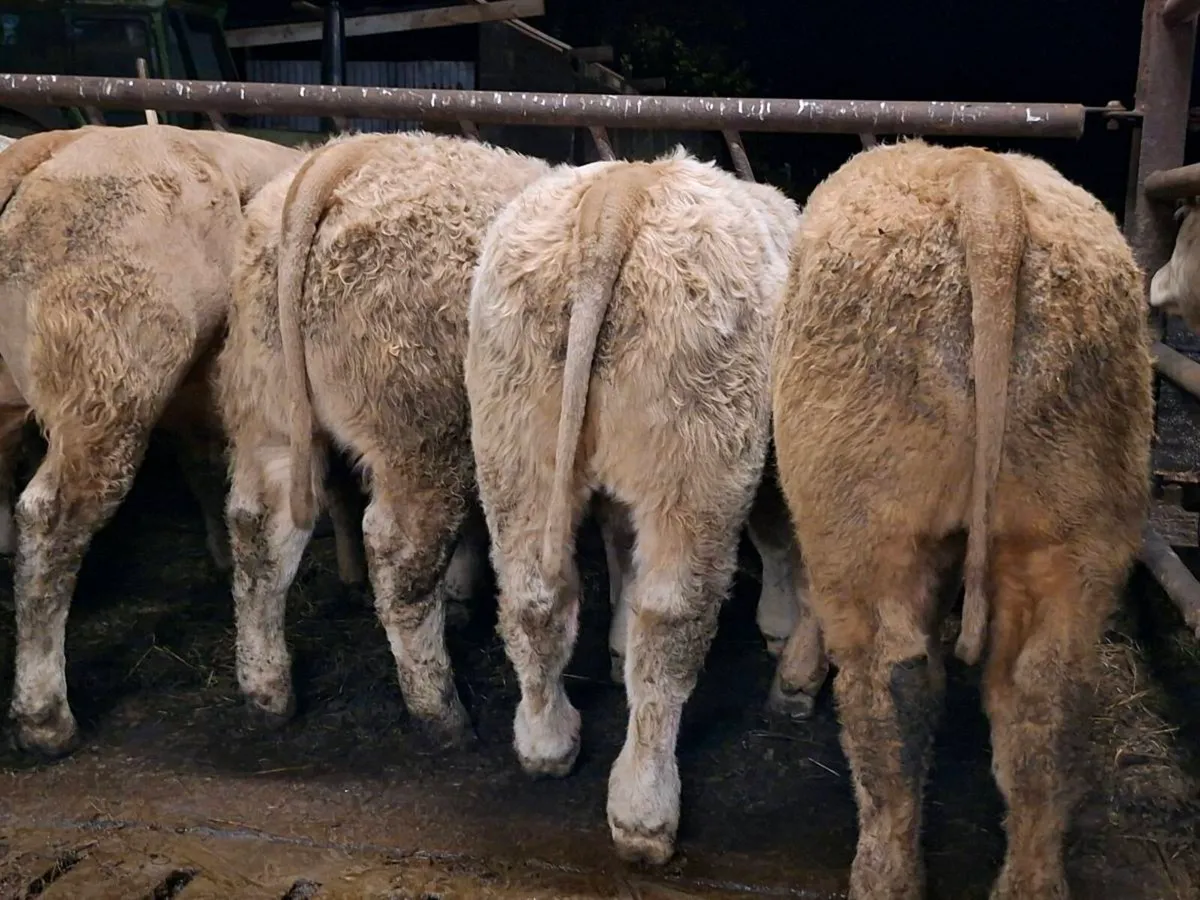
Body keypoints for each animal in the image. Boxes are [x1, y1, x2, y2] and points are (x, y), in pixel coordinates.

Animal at [215, 131, 552, 743]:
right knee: (400, 553)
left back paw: (267, 689)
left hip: (266, 408)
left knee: (259, 532)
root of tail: (345, 158)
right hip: (422, 432)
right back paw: (440, 710)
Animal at [465, 148, 801, 865]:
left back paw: (546, 739)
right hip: (700, 454)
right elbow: (778, 536)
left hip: (514, 431)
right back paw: (644, 810)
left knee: (532, 593)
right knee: (671, 620)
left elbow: (619, 545)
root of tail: (623, 190)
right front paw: (782, 628)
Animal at [771, 139, 1153, 900]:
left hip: (863, 519)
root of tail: (984, 181)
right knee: (1046, 694)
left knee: (892, 683)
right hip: (1076, 522)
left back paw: (883, 874)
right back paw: (1030, 883)